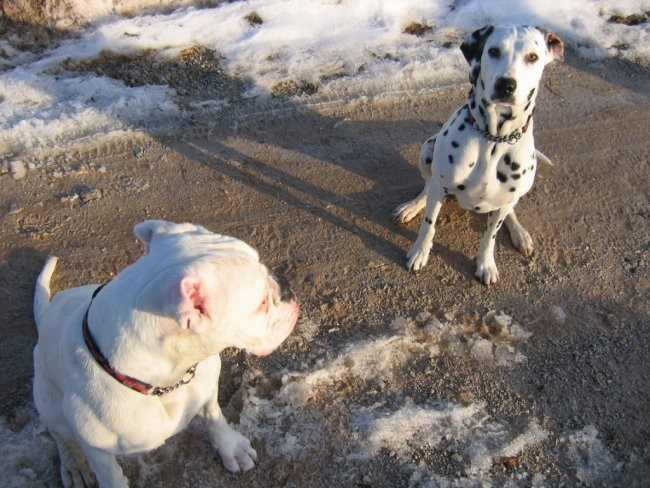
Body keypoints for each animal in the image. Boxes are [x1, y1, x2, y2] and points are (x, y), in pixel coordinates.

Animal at [33, 219, 298, 486]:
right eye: (261, 303)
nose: (286, 286)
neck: (166, 381)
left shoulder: (207, 387)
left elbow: (214, 417)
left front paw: (230, 447)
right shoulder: (98, 451)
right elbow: (111, 476)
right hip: (49, 404)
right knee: (61, 437)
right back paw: (73, 466)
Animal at [392, 25, 560, 286]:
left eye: (532, 57)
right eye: (493, 51)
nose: (506, 85)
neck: (493, 139)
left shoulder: (501, 205)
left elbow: (490, 237)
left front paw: (486, 265)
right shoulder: (440, 186)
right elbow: (429, 225)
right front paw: (419, 253)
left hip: (520, 190)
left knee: (511, 209)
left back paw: (520, 233)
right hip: (428, 149)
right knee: (426, 187)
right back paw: (411, 206)